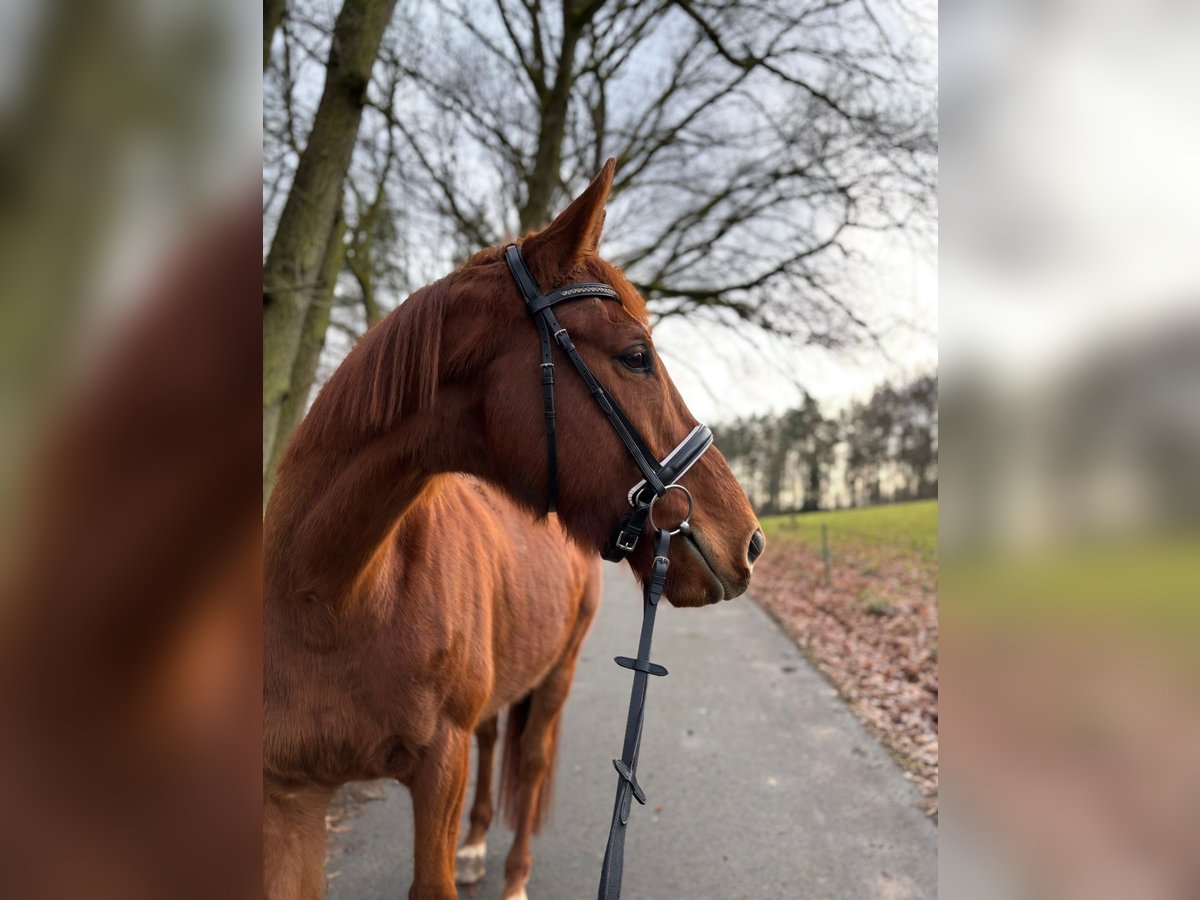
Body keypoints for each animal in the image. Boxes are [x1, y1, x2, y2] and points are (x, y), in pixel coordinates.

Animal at [266, 162, 763, 900]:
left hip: (557, 677)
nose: (749, 539)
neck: (330, 597)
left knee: (527, 767)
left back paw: (514, 878)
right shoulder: (289, 798)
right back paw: (476, 842)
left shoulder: (437, 770)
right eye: (636, 356)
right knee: (496, 738)